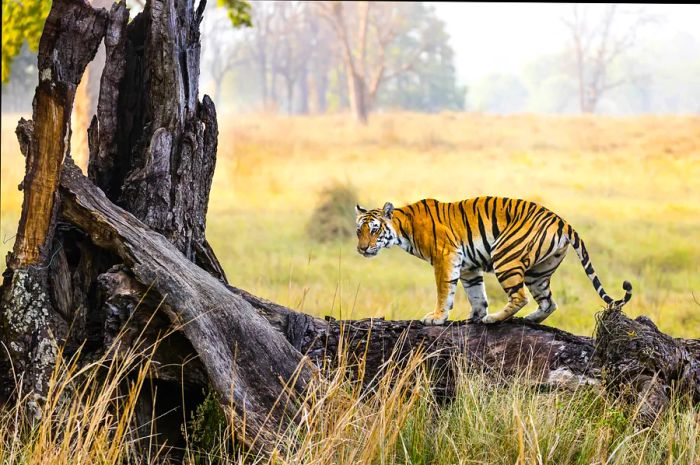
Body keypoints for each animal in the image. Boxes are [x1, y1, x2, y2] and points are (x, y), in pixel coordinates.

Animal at [352, 198, 632, 324]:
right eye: (359, 231)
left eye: (375, 230)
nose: (362, 249)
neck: (403, 228)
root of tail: (562, 220)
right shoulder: (467, 266)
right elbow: (476, 293)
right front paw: (474, 316)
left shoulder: (445, 257)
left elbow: (444, 291)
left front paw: (437, 317)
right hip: (539, 272)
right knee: (549, 303)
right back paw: (528, 319)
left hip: (505, 255)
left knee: (520, 297)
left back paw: (496, 319)